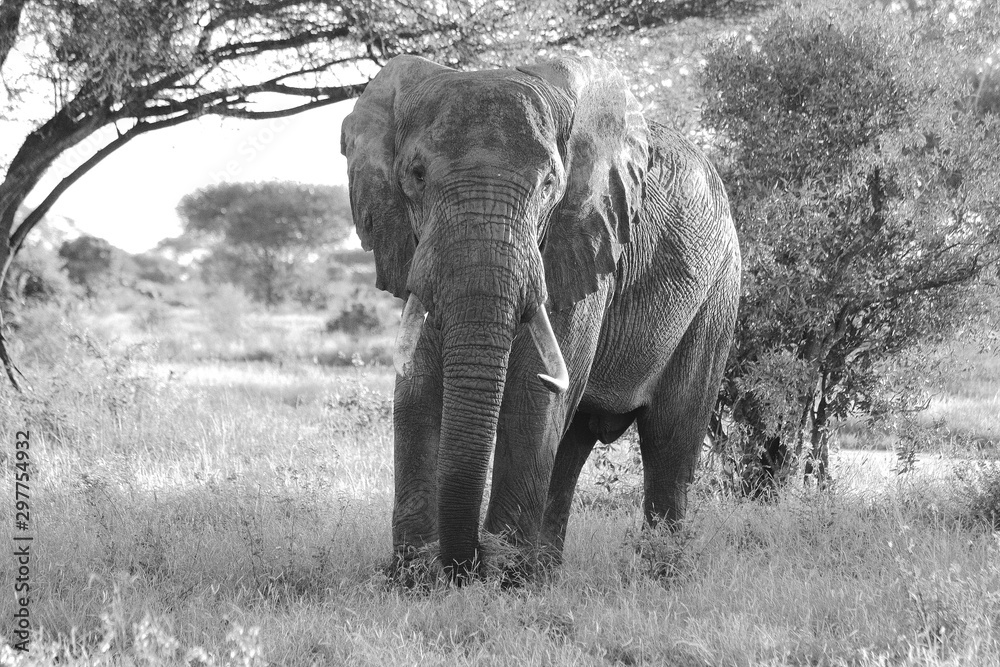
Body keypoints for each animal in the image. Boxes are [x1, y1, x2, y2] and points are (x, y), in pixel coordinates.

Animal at [340, 54, 741, 581]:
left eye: (550, 183)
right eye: (417, 175)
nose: (467, 562)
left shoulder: (585, 238)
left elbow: (533, 390)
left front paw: (498, 577)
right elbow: (418, 386)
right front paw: (416, 576)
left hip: (716, 297)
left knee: (669, 442)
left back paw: (659, 573)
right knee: (572, 445)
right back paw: (543, 576)